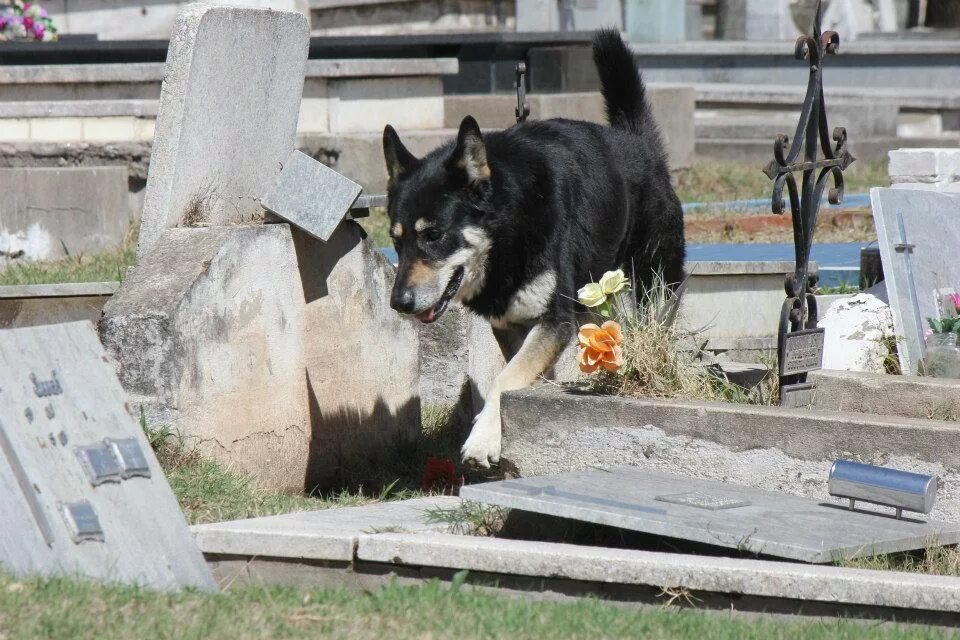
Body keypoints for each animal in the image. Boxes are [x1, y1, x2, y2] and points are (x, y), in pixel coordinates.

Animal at [380, 28, 684, 464]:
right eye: (396, 238)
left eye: (433, 234)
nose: (399, 303)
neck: (509, 230)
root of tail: (637, 142)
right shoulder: (511, 324)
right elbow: (514, 374)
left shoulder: (554, 320)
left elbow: (504, 381)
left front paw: (483, 438)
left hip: (653, 286)